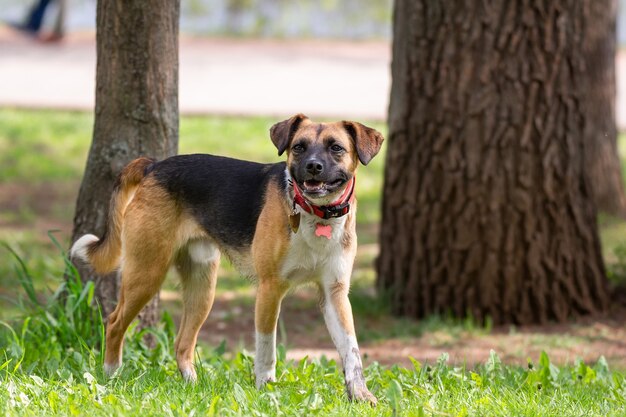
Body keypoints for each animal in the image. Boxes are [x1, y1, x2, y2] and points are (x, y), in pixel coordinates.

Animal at [73, 112, 386, 402]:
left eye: (336, 148)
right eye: (299, 147)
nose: (313, 166)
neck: (316, 214)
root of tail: (153, 166)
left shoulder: (335, 293)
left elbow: (352, 350)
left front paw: (361, 394)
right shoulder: (270, 289)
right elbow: (266, 349)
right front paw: (266, 390)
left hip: (203, 289)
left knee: (182, 344)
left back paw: (192, 386)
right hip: (146, 273)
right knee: (114, 323)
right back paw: (111, 376)